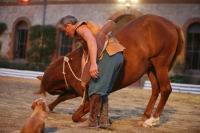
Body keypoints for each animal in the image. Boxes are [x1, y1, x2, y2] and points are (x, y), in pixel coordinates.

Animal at [35, 14, 184, 127]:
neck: (76, 65)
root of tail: (172, 25)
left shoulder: (87, 98)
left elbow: (76, 115)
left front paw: (88, 119)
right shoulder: (75, 91)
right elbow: (61, 98)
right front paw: (48, 107)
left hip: (160, 64)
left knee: (165, 89)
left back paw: (153, 120)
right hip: (151, 68)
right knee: (155, 90)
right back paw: (145, 117)